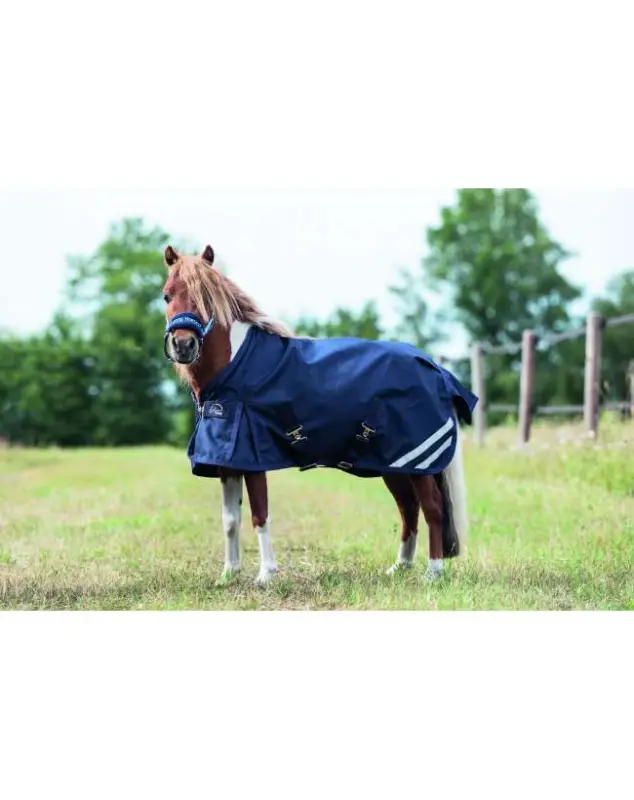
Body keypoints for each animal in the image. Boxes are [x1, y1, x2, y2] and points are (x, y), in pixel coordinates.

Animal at [162, 244, 478, 586]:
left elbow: (260, 515)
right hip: (395, 464)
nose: (183, 345)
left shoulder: (252, 458)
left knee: (432, 508)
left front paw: (266, 576)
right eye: (167, 296)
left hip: (417, 463)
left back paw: (433, 573)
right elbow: (230, 520)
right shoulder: (226, 462)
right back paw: (400, 567)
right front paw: (228, 575)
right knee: (409, 508)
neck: (234, 367)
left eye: (207, 299)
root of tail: (436, 369)